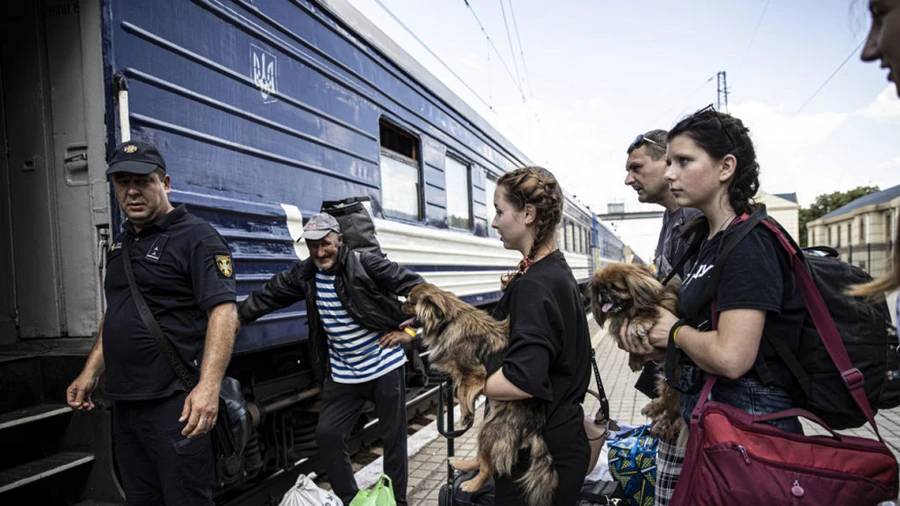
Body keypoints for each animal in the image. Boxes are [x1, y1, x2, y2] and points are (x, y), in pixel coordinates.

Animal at [406, 282, 560, 506]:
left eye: (409, 301)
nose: (399, 305)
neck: (450, 319)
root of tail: (535, 429)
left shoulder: (476, 374)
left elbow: (462, 390)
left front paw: (465, 412)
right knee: (481, 459)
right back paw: (461, 464)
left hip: (490, 429)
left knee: (489, 467)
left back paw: (471, 485)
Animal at [588, 262, 684, 440]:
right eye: (598, 289)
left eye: (614, 287)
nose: (602, 293)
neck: (629, 311)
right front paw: (635, 361)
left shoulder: (669, 311)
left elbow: (650, 311)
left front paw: (640, 322)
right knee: (667, 400)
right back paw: (653, 409)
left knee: (674, 407)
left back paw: (662, 420)